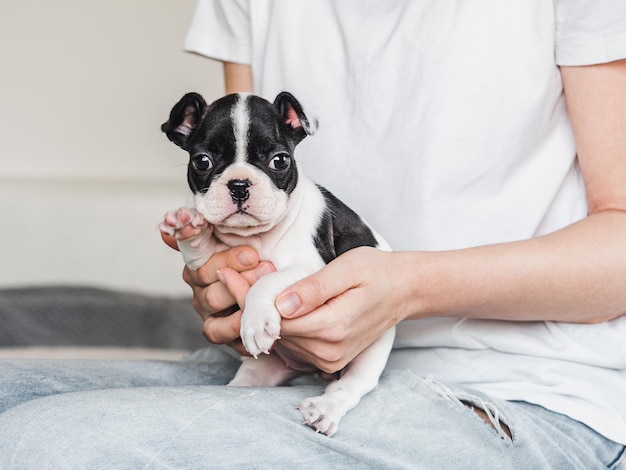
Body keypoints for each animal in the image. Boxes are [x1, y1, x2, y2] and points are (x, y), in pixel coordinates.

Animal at [158, 92, 392, 436]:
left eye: (279, 160)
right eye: (202, 161)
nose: (239, 185)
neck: (254, 237)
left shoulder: (313, 267)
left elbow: (265, 280)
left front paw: (255, 321)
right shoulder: (211, 263)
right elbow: (201, 248)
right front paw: (187, 226)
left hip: (373, 346)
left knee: (351, 385)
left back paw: (326, 408)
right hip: (263, 368)